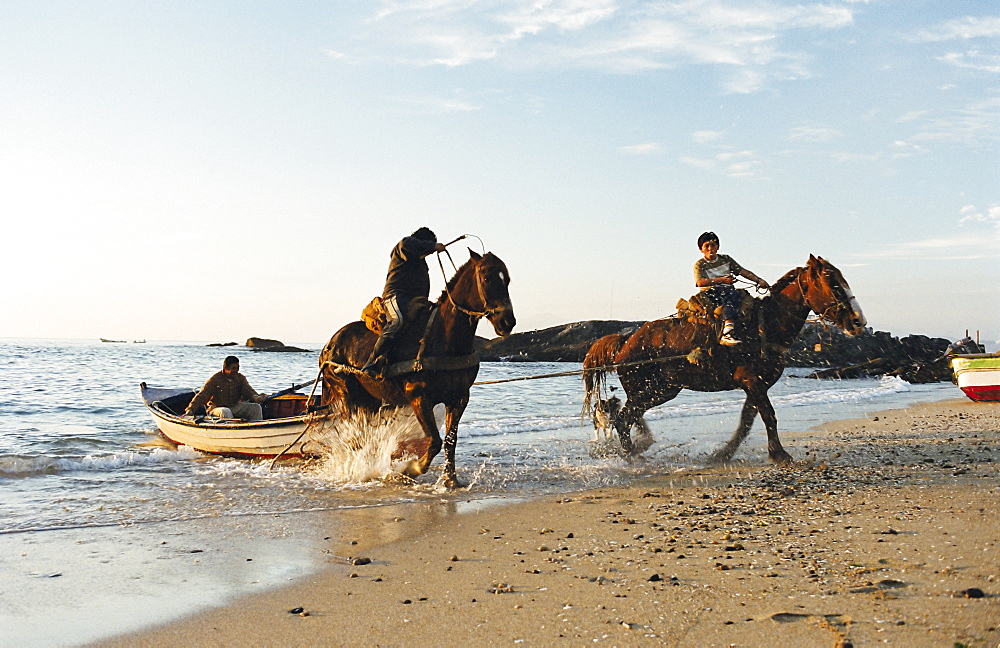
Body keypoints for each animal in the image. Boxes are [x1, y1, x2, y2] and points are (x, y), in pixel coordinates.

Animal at [318, 251, 516, 488]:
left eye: (507, 280)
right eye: (487, 278)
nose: (507, 321)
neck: (443, 337)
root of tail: (329, 344)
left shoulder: (459, 398)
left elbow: (450, 441)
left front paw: (450, 479)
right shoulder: (419, 398)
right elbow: (434, 441)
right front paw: (411, 468)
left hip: (370, 401)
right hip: (349, 397)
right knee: (356, 438)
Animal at [584, 256, 868, 464]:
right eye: (833, 283)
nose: (859, 321)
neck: (765, 325)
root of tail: (626, 341)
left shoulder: (757, 384)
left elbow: (747, 421)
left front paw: (723, 454)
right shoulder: (752, 380)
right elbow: (768, 415)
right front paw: (780, 454)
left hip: (661, 390)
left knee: (629, 417)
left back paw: (636, 450)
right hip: (649, 389)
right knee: (624, 419)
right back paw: (632, 455)